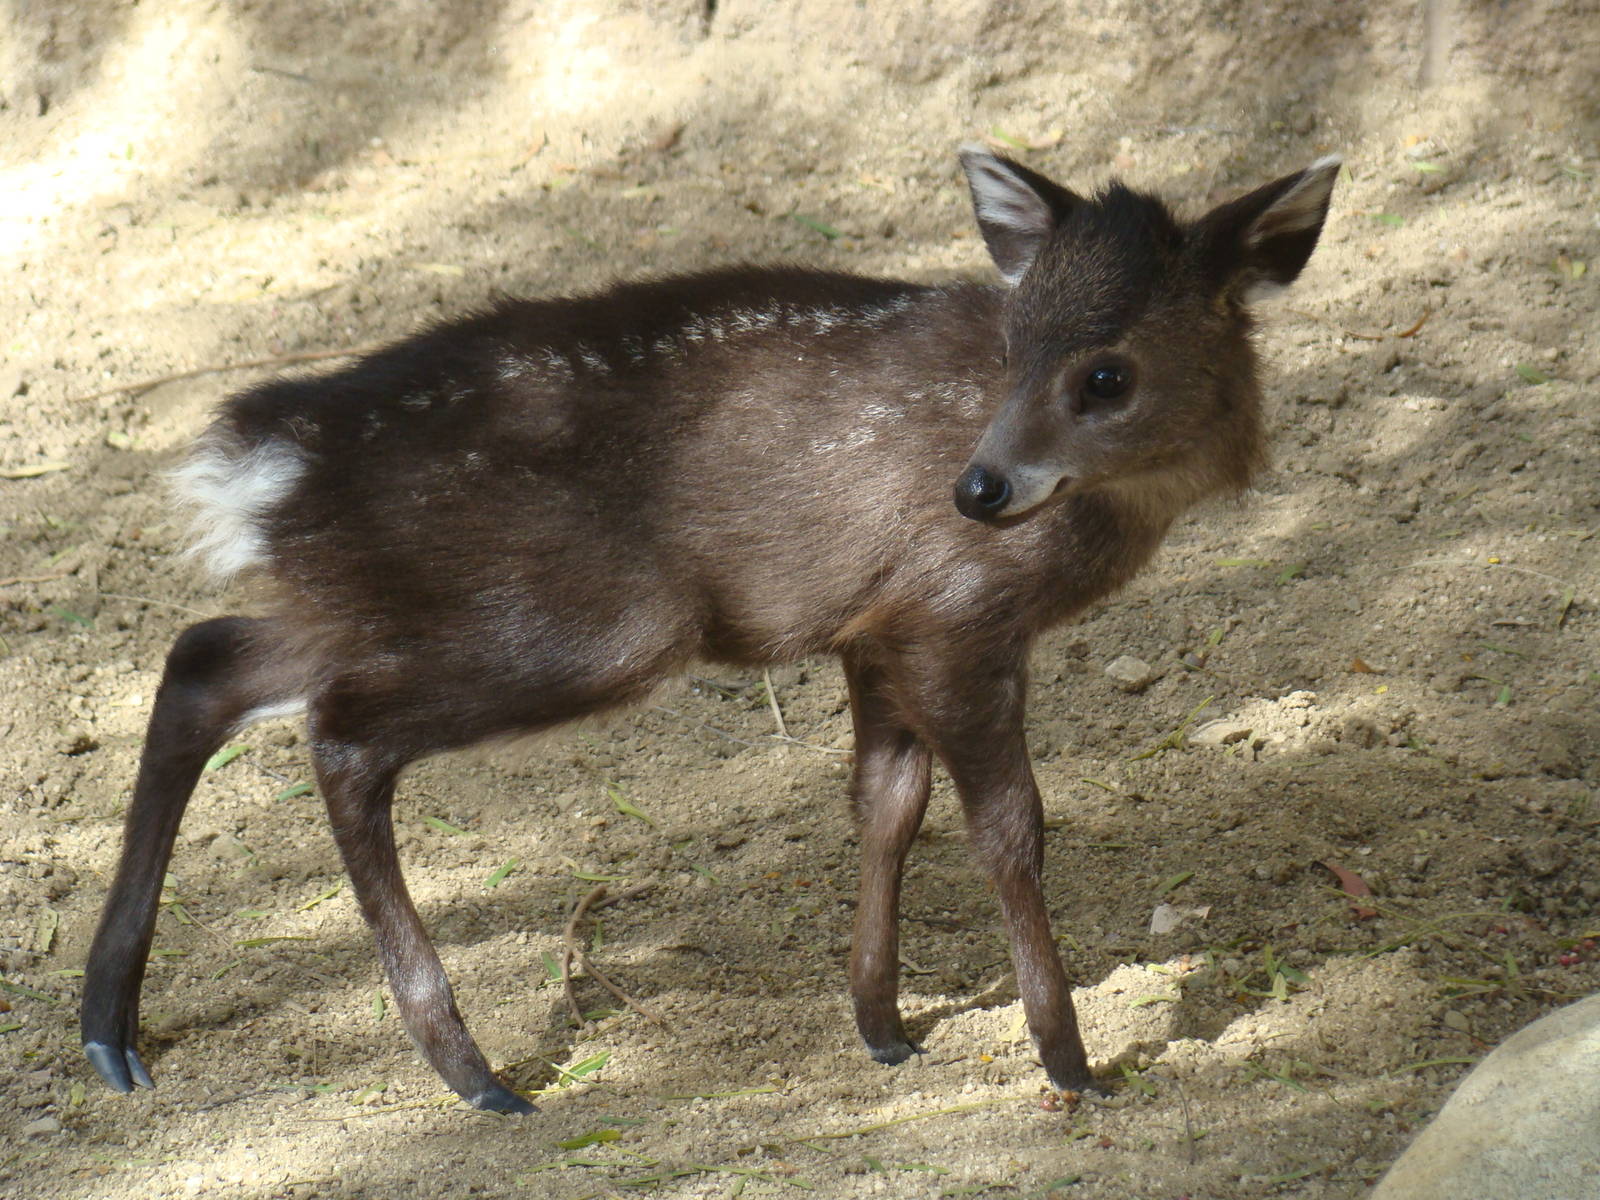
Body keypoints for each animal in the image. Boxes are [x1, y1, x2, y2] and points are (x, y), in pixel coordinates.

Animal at [81, 145, 1339, 1113]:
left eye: (1106, 374)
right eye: (1013, 349)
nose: (976, 489)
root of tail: (265, 462)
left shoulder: (876, 624)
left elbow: (886, 805)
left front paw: (882, 1023)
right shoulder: (954, 611)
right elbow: (1008, 829)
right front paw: (1071, 1062)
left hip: (382, 601)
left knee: (207, 657)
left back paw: (112, 1032)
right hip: (589, 620)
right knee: (338, 735)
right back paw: (475, 1073)